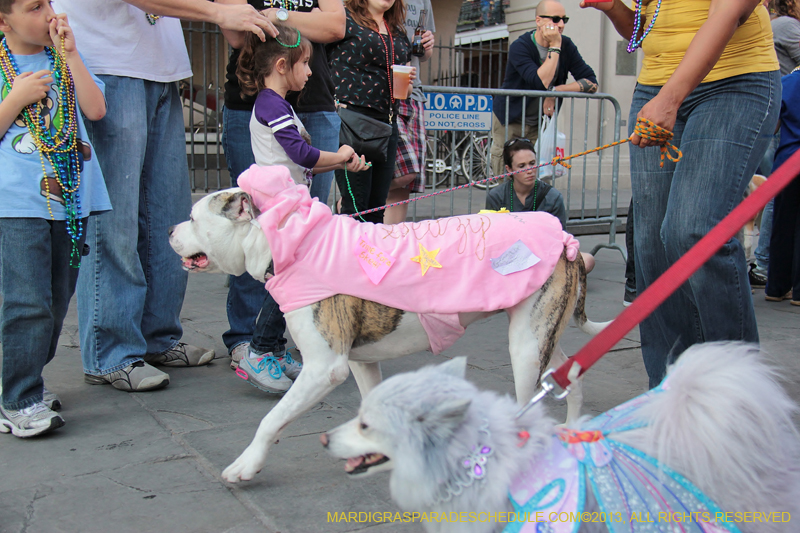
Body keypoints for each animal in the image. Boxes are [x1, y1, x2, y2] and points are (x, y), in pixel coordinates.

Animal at [167, 188, 608, 482]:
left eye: (193, 218)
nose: (170, 230)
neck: (286, 245)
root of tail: (565, 238)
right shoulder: (361, 362)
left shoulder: (323, 368)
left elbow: (271, 420)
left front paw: (247, 464)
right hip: (540, 332)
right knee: (570, 376)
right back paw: (574, 429)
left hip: (526, 346)